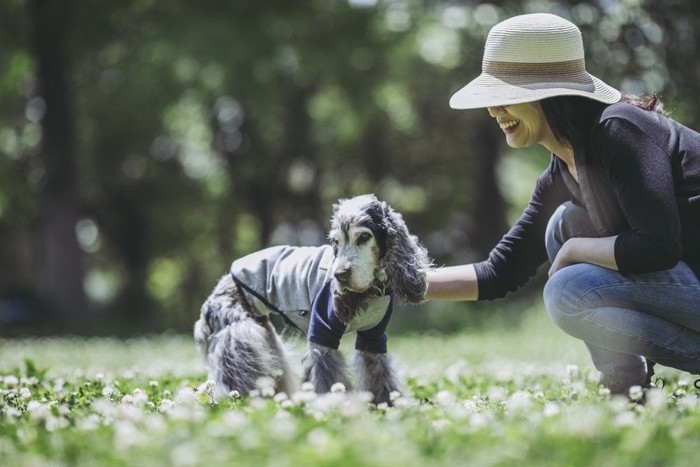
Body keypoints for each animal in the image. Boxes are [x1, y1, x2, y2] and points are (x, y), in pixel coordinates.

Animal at [193, 194, 432, 406]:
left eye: (364, 237)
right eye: (335, 241)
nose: (340, 274)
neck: (371, 290)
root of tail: (215, 293)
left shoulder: (373, 338)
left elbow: (380, 375)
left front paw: (389, 406)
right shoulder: (322, 334)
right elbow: (327, 378)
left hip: (267, 340)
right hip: (241, 338)